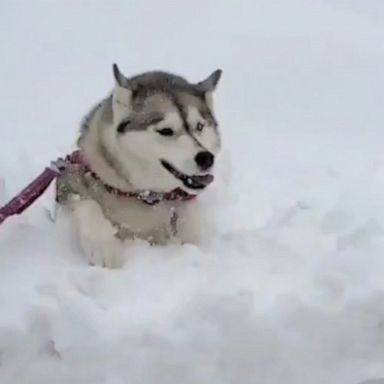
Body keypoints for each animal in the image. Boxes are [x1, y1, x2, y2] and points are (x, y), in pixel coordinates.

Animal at [54, 63, 222, 268]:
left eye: (199, 126)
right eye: (166, 130)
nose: (206, 158)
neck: (145, 195)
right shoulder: (69, 178)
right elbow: (86, 203)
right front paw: (104, 245)